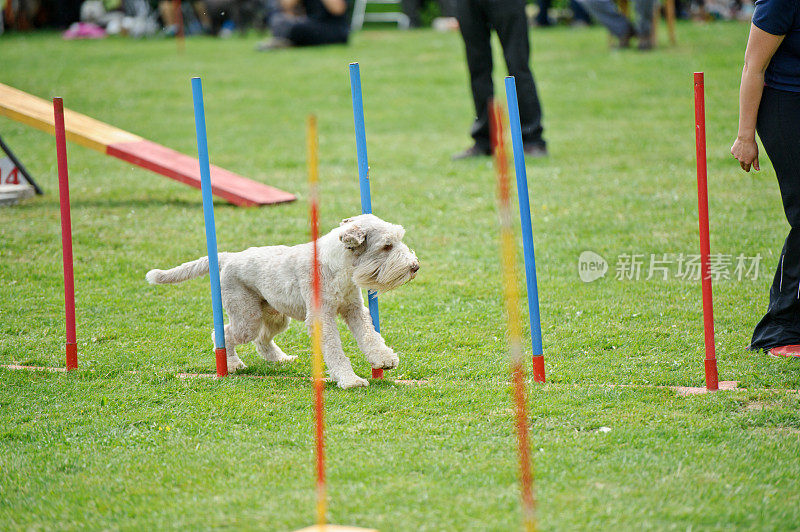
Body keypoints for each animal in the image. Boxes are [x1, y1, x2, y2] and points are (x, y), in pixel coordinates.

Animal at [146, 214, 418, 388]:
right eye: (387, 246)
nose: (415, 267)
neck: (339, 266)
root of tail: (228, 257)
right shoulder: (322, 317)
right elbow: (335, 350)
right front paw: (350, 380)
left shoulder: (354, 310)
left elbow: (370, 336)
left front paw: (384, 359)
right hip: (247, 317)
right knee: (224, 333)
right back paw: (232, 364)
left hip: (276, 316)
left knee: (262, 341)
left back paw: (281, 359)